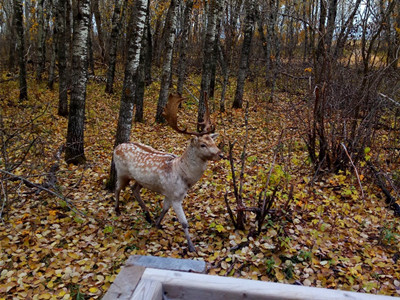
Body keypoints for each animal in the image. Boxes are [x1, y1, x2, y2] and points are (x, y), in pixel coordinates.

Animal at [114, 93, 223, 251]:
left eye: (213, 142)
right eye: (203, 144)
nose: (221, 154)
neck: (184, 176)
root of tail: (116, 147)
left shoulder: (169, 193)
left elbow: (164, 210)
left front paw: (157, 224)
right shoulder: (175, 195)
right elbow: (184, 222)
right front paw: (192, 247)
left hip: (140, 180)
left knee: (134, 188)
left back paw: (148, 216)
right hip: (121, 172)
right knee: (117, 188)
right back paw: (117, 210)